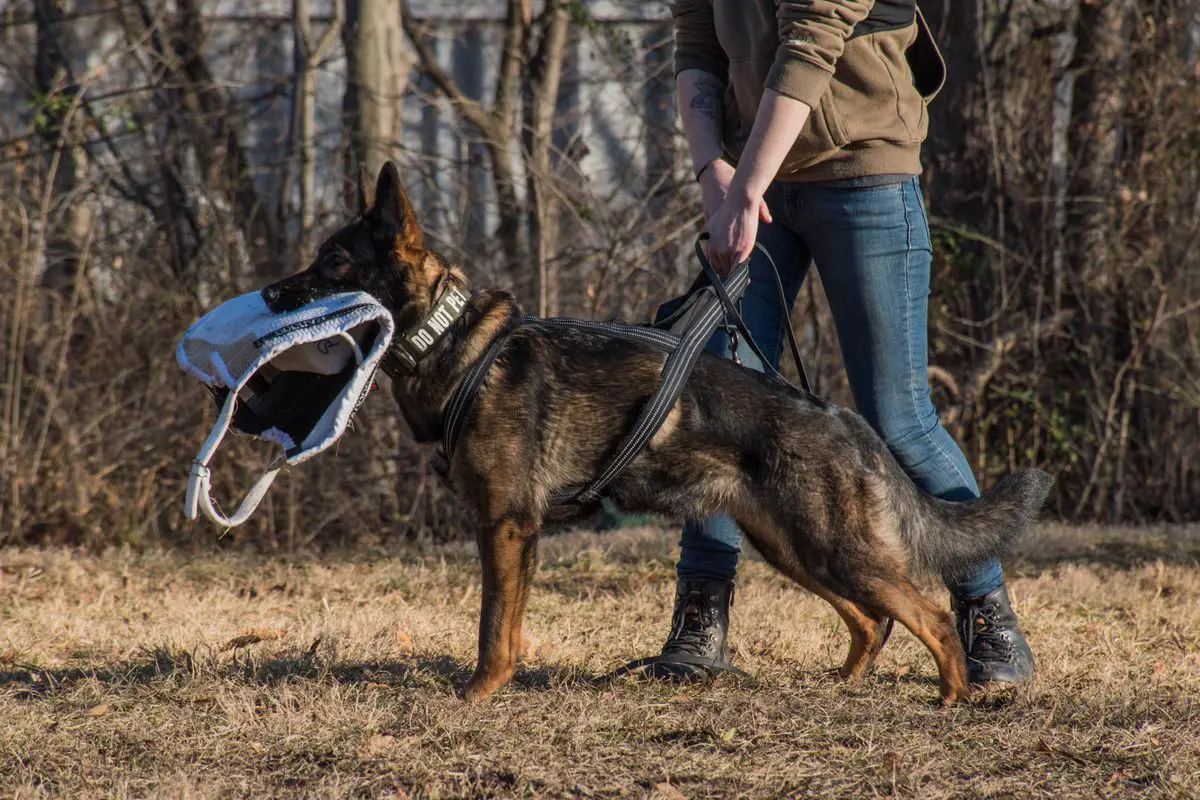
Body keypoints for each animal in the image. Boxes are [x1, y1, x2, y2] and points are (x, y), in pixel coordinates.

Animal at [262, 163, 1051, 705]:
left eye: (334, 263)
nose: (270, 294)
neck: (450, 342)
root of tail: (845, 420)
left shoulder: (507, 526)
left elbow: (493, 628)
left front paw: (481, 693)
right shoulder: (512, 533)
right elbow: (507, 624)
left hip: (834, 548)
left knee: (929, 614)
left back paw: (951, 696)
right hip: (793, 548)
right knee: (870, 621)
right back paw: (846, 683)